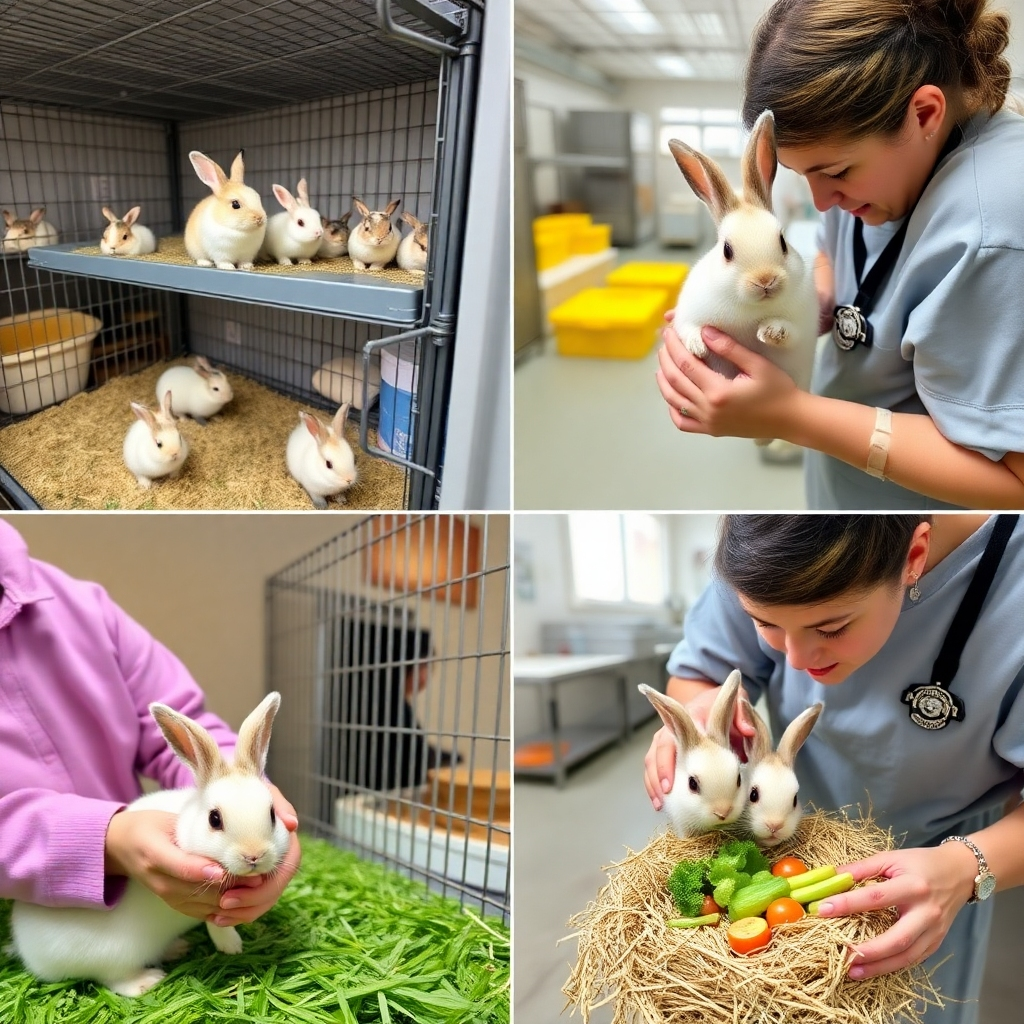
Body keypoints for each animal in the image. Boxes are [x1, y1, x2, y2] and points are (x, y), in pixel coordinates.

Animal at [9, 692, 290, 997]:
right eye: (214, 819)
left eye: (272, 814)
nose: (254, 855)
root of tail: (26, 947)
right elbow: (215, 920)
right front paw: (231, 946)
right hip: (114, 955)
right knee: (113, 979)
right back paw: (147, 980)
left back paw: (176, 947)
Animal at [668, 109, 818, 443]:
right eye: (726, 250)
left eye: (783, 242)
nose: (765, 281)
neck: (751, 310)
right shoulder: (687, 314)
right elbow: (687, 328)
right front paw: (698, 346)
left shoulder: (803, 326)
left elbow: (789, 332)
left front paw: (771, 332)